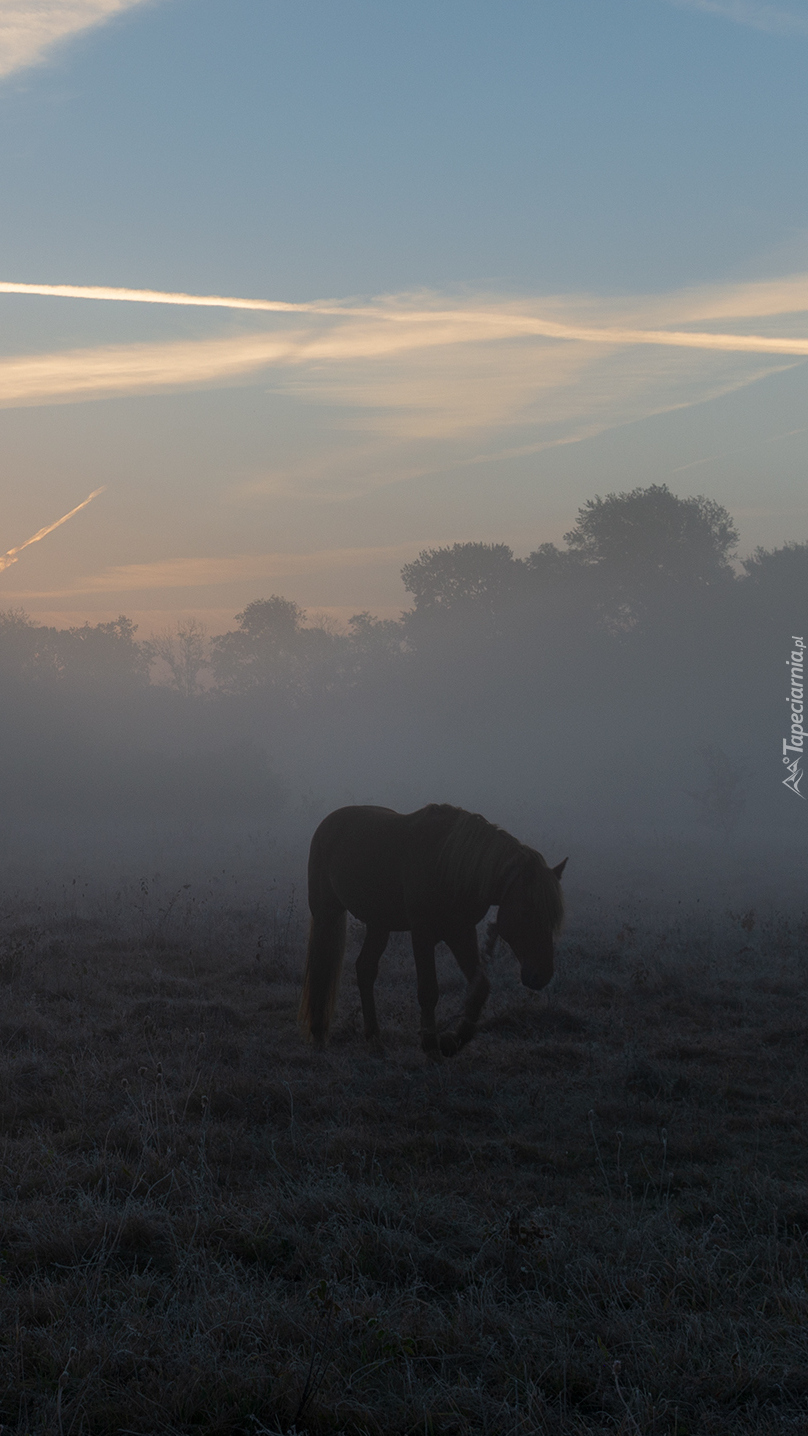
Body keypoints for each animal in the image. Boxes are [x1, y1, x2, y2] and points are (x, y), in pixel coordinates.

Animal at [298, 809, 568, 1056]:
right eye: (528, 912)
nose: (541, 975)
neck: (449, 865)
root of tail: (326, 825)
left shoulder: (461, 932)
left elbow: (480, 988)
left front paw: (453, 1041)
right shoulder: (423, 932)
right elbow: (428, 990)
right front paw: (430, 1044)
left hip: (379, 924)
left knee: (365, 969)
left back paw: (374, 1038)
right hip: (326, 912)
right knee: (322, 965)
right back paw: (319, 1033)